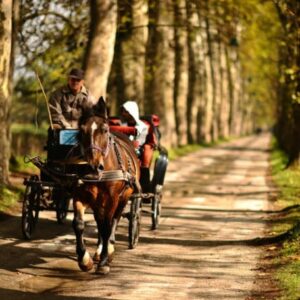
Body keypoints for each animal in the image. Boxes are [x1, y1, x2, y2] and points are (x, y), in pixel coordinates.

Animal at [72, 98, 139, 274]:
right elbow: (78, 224)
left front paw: (103, 262)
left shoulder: (112, 199)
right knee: (99, 221)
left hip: (124, 197)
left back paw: (109, 249)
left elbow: (108, 226)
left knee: (114, 220)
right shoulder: (79, 195)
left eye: (105, 129)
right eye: (81, 130)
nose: (93, 165)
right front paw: (84, 260)